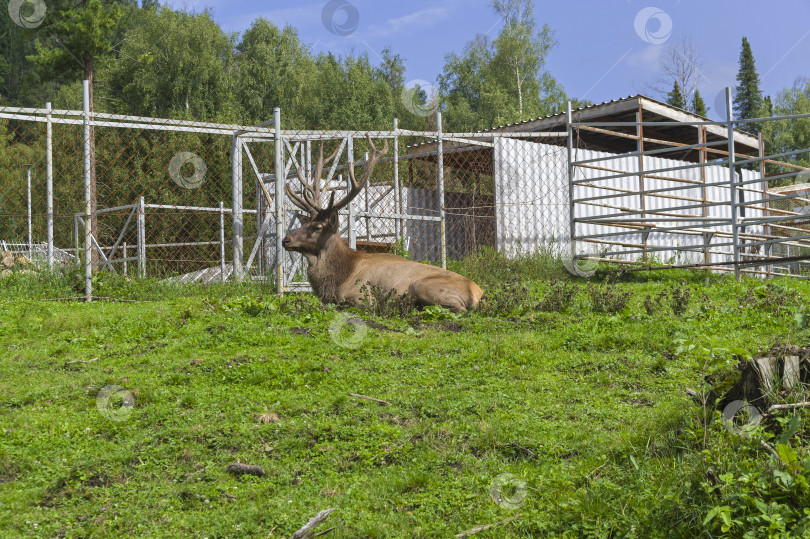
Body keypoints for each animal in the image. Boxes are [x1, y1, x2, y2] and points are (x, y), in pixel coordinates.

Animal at [280, 135, 480, 314]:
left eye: (318, 228)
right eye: (306, 222)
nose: (286, 239)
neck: (338, 279)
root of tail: (477, 294)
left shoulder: (362, 297)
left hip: (423, 286)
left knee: (457, 310)